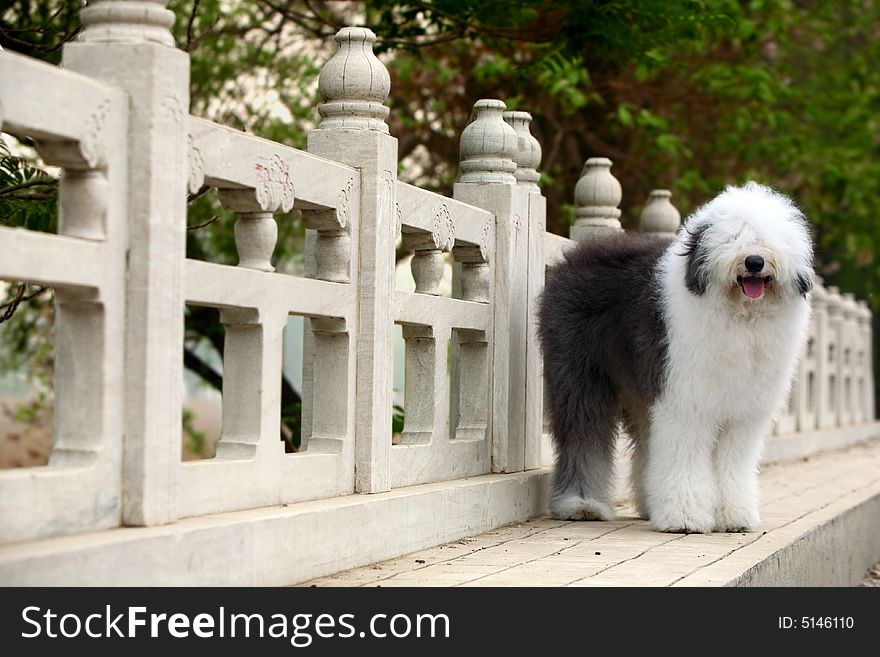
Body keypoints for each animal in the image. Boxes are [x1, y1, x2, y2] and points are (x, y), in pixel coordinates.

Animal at [540, 182, 816, 532]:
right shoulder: (686, 402)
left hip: (640, 390)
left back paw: (647, 503)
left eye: (769, 238)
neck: (741, 316)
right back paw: (582, 504)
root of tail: (576, 253)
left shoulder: (743, 414)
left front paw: (733, 515)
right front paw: (684, 517)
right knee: (584, 432)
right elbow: (684, 456)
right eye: (733, 236)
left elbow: (733, 462)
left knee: (645, 441)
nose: (754, 261)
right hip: (580, 372)